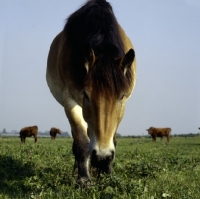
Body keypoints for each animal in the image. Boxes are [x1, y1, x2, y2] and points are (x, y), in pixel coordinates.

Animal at [45, 0, 136, 187]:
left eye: (121, 96)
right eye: (85, 94)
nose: (102, 157)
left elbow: (113, 138)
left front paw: (107, 173)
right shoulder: (70, 101)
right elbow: (81, 142)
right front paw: (84, 179)